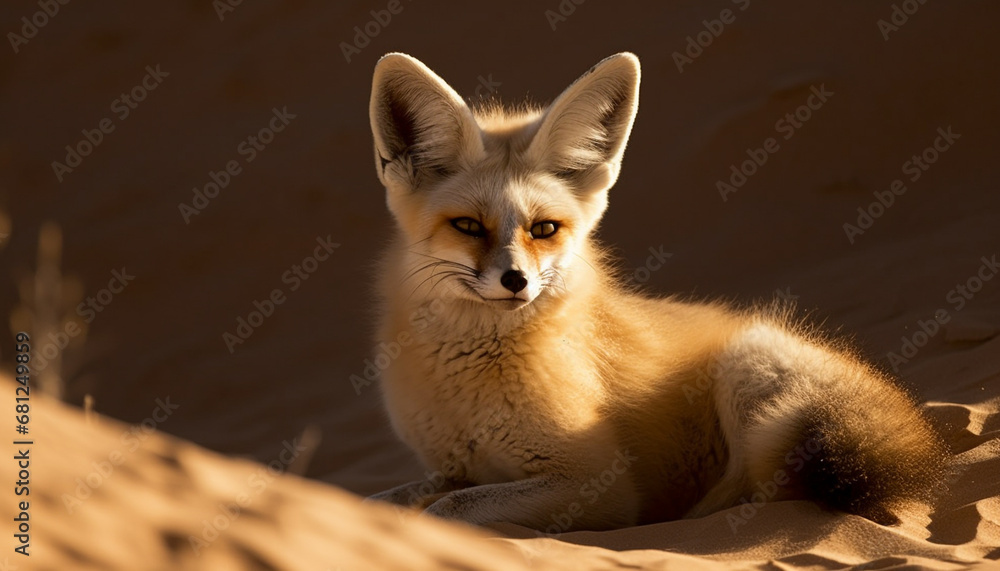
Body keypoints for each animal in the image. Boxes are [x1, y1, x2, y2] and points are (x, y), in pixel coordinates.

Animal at [365, 51, 948, 531]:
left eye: (543, 229)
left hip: (749, 363)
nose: (516, 282)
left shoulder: (597, 484)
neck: (464, 389)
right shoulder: (452, 467)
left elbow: (443, 510)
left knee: (766, 489)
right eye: (467, 226)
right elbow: (387, 500)